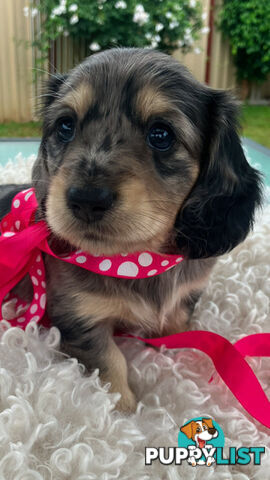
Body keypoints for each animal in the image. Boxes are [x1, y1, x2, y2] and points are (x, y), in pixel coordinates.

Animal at [0, 48, 262, 412]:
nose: (86, 199)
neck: (134, 260)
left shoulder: (185, 299)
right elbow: (110, 361)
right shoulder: (79, 317)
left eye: (161, 134)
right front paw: (121, 409)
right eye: (65, 126)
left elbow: (177, 328)